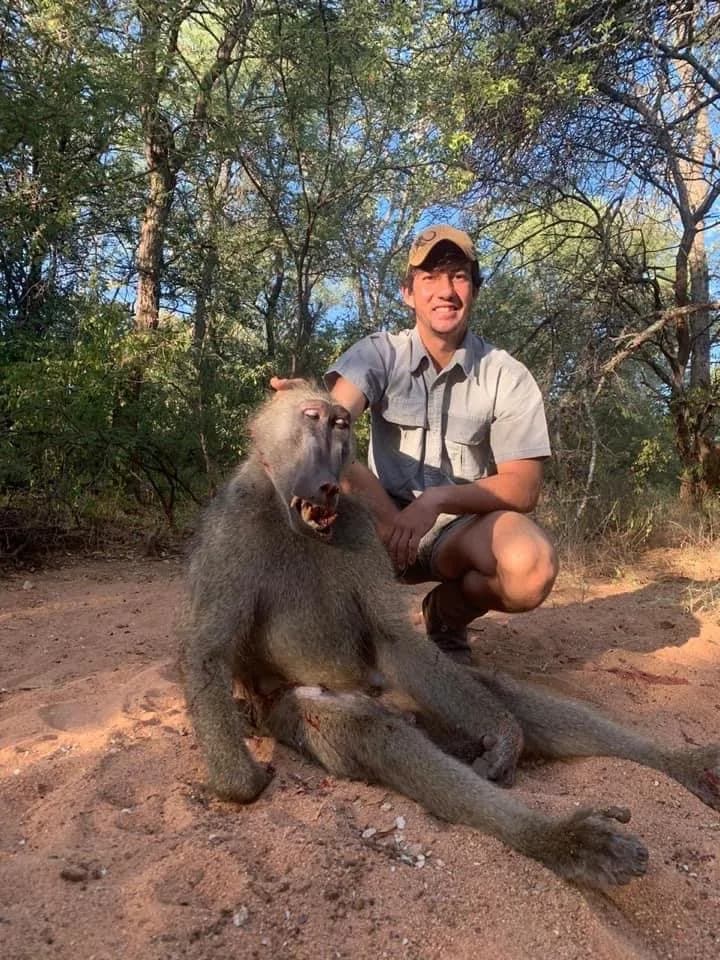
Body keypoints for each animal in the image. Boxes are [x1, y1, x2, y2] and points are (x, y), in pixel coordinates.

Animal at [180, 382, 720, 889]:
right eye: (311, 418)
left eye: (339, 425)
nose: (327, 481)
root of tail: (383, 695)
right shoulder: (233, 525)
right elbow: (207, 653)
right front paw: (240, 782)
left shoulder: (356, 526)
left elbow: (396, 639)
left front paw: (505, 736)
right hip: (303, 709)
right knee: (379, 734)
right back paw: (563, 841)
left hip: (414, 689)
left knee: (493, 693)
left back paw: (678, 766)